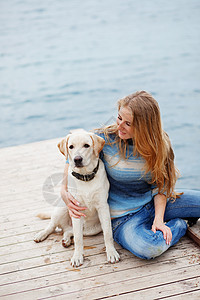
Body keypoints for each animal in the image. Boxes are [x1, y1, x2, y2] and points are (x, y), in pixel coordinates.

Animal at [34, 130, 120, 266]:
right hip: (63, 207)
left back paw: (66, 240)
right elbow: (79, 239)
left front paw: (111, 252)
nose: (77, 159)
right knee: (53, 226)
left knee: (68, 230)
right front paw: (77, 256)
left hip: (92, 229)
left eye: (86, 145)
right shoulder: (75, 207)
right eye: (71, 147)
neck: (85, 177)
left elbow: (108, 233)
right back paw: (41, 234)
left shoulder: (103, 208)